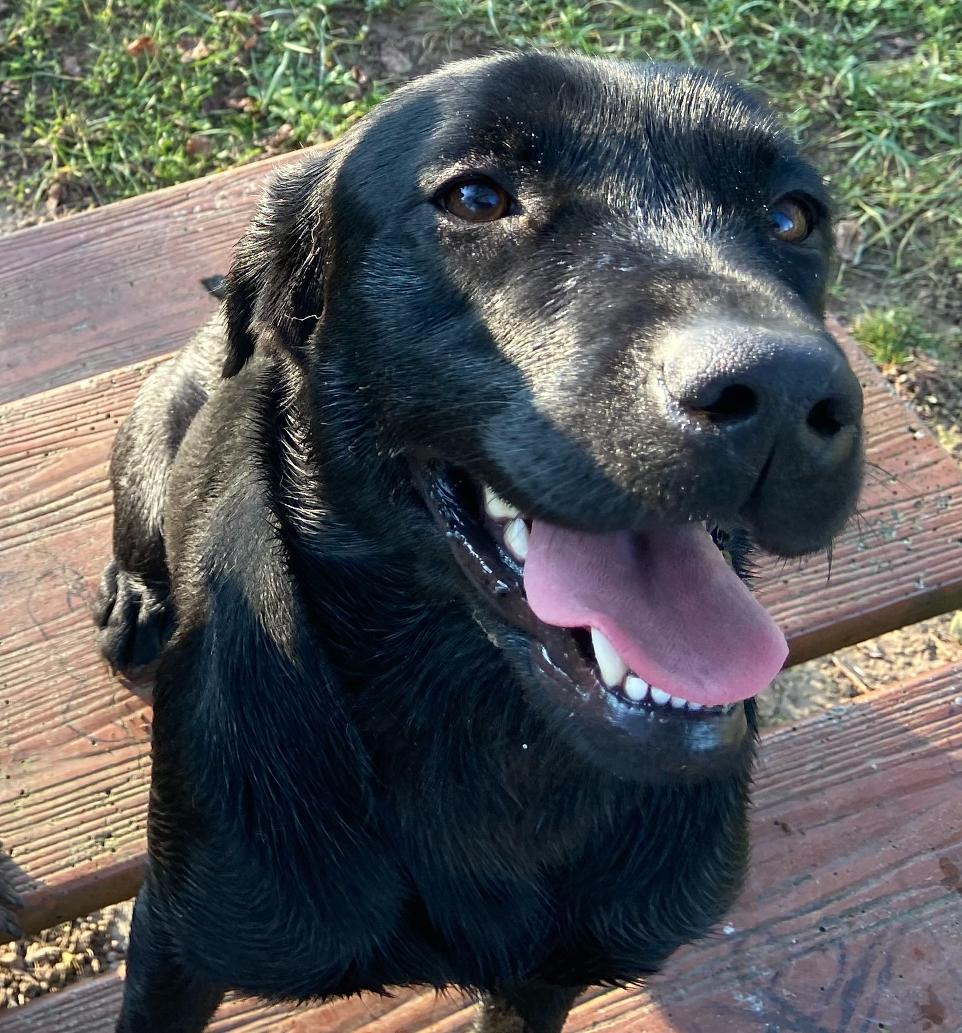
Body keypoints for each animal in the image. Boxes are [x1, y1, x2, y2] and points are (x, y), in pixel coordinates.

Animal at [96, 50, 863, 1033]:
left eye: (792, 215)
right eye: (474, 197)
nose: (782, 391)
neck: (492, 735)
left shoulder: (546, 975)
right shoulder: (178, 939)